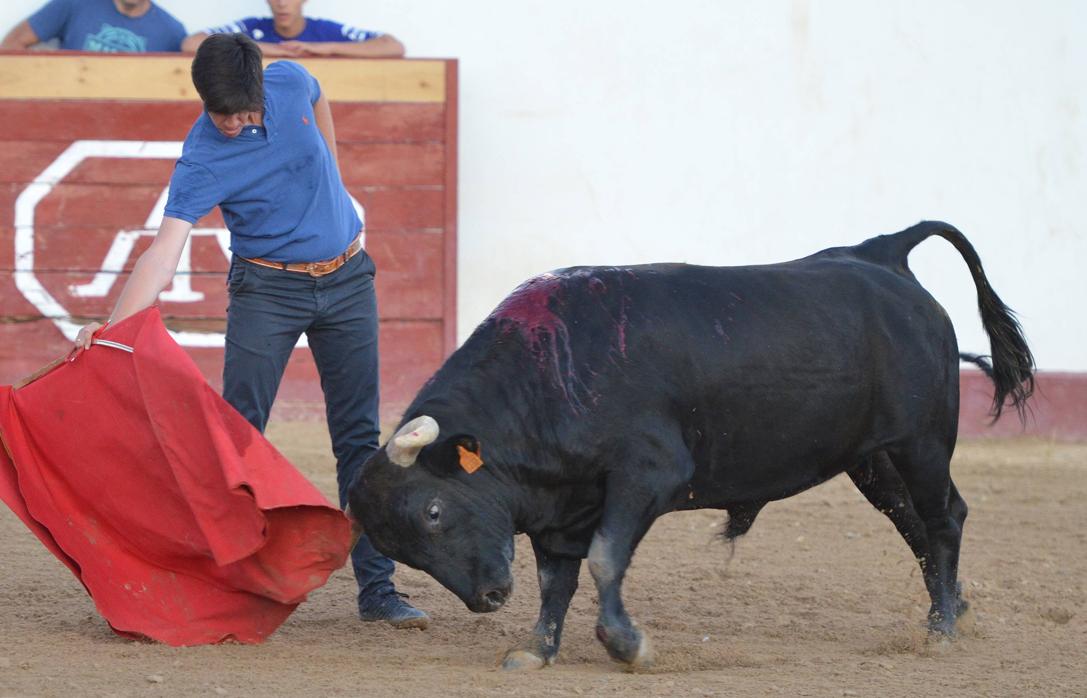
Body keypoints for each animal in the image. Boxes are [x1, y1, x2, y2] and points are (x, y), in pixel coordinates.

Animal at [350, 219, 1034, 665]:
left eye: (433, 511)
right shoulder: (560, 508)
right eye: (402, 550)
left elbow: (603, 559)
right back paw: (950, 610)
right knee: (917, 523)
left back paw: (941, 629)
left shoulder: (648, 476)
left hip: (923, 442)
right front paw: (537, 650)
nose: (488, 598)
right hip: (875, 460)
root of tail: (883, 256)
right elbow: (555, 578)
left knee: (943, 519)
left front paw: (627, 645)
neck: (552, 373)